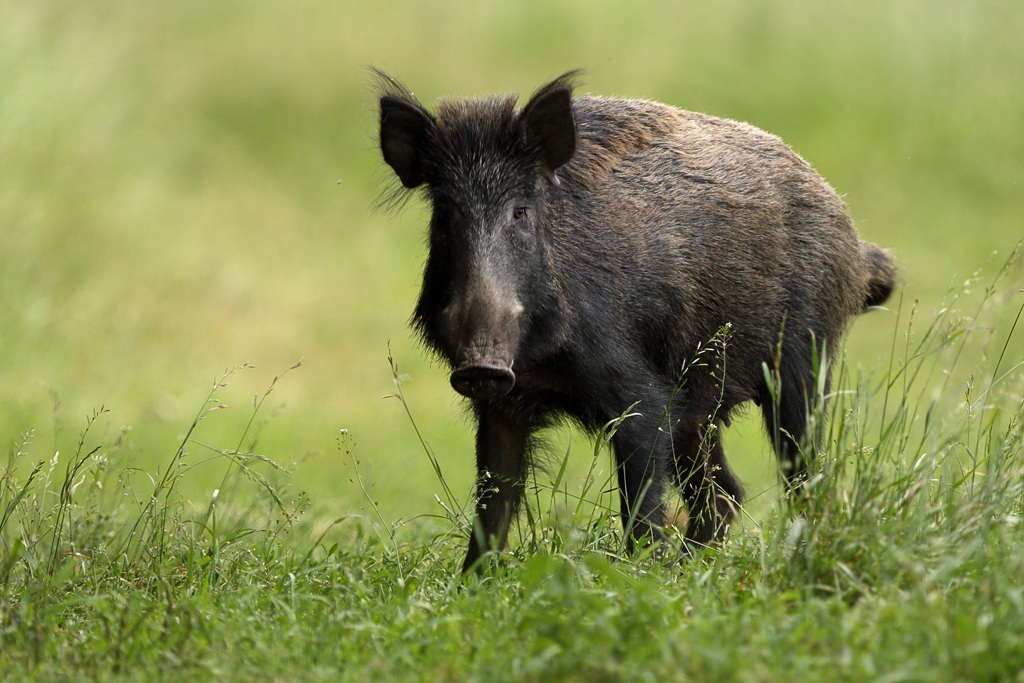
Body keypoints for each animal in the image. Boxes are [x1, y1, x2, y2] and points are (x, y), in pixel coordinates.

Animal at [374, 70, 896, 573]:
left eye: (520, 211)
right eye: (445, 216)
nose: (482, 365)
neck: (542, 365)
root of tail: (855, 245)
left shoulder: (638, 394)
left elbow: (640, 501)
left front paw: (638, 573)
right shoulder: (502, 406)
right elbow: (493, 504)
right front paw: (473, 582)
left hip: (804, 360)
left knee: (803, 474)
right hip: (701, 407)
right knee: (724, 494)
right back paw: (691, 568)